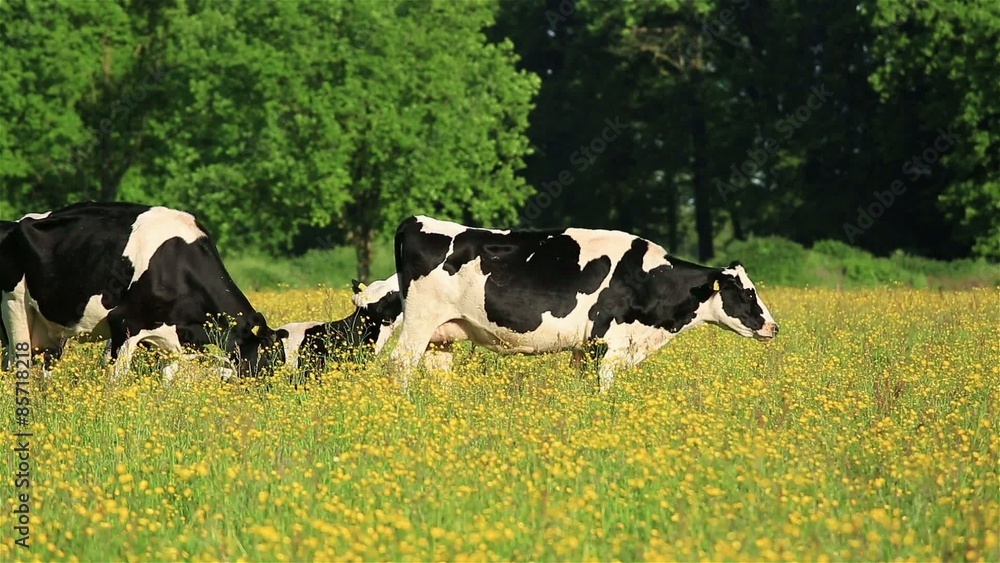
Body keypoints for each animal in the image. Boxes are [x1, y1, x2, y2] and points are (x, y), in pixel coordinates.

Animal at [0, 202, 281, 380]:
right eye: (263, 363)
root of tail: (12, 224)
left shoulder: (172, 343)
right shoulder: (124, 324)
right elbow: (114, 382)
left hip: (48, 330)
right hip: (14, 308)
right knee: (19, 367)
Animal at [388, 215, 779, 392]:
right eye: (746, 293)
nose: (774, 327)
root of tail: (417, 221)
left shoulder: (585, 347)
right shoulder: (606, 345)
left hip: (443, 334)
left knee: (436, 372)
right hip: (419, 323)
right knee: (400, 364)